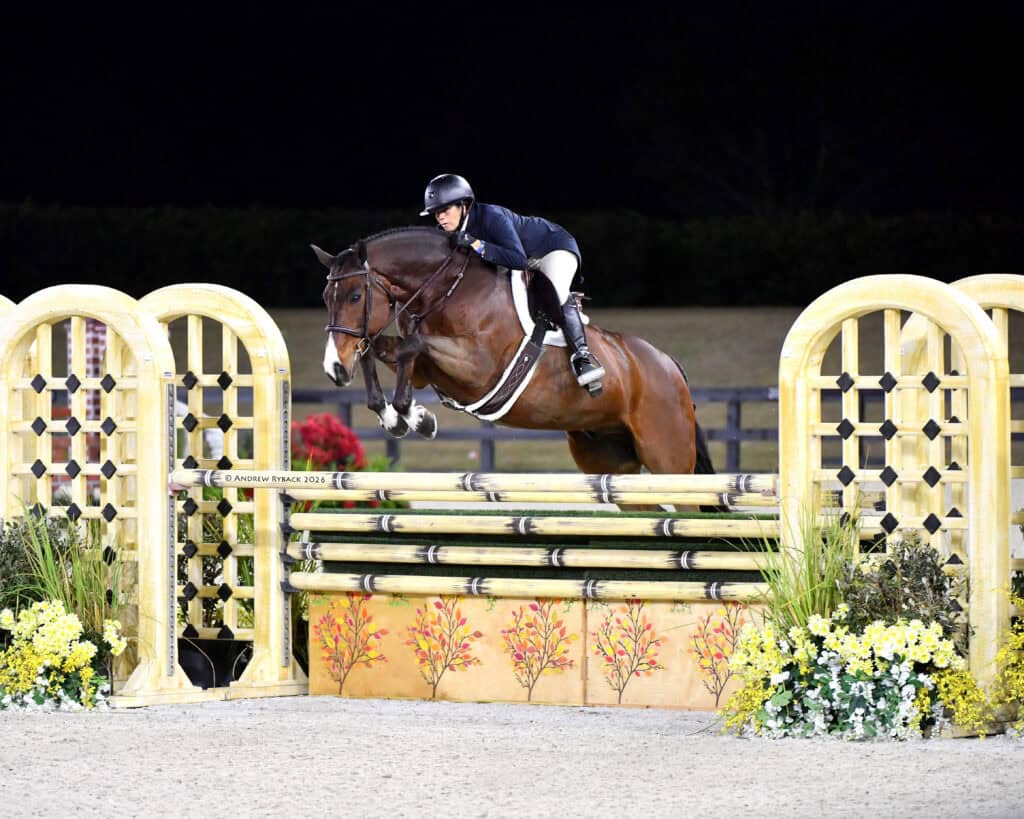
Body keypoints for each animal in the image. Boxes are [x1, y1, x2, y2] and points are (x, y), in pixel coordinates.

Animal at [313, 226, 715, 478]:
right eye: (326, 298)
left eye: (355, 296)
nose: (334, 369)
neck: (447, 288)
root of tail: (670, 366)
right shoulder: (428, 369)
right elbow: (382, 350)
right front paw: (400, 417)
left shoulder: (479, 367)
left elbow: (411, 346)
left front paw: (414, 417)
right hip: (609, 458)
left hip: (667, 457)